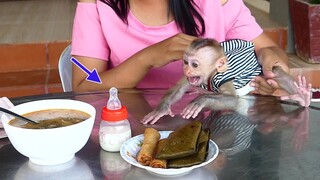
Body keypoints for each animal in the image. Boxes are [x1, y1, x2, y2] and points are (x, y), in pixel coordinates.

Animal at [141, 38, 312, 124]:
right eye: (185, 62)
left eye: (195, 64)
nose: (187, 70)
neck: (209, 76)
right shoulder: (190, 79)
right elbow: (178, 89)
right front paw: (161, 109)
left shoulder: (222, 78)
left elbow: (231, 99)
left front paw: (200, 100)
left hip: (262, 69)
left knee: (275, 72)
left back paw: (302, 96)